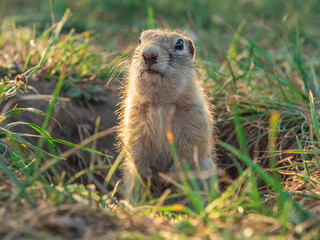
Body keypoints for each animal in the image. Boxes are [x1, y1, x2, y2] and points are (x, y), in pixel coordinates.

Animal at [117, 28, 215, 204]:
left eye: (179, 44)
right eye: (140, 40)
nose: (149, 54)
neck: (160, 103)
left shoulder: (194, 115)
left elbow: (189, 148)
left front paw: (170, 178)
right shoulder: (134, 114)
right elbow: (135, 142)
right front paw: (147, 175)